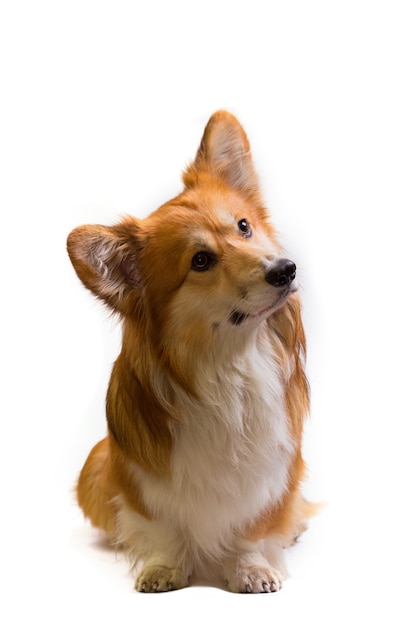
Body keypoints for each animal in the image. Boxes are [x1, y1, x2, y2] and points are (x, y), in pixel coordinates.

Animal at [67, 109, 312, 592]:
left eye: (243, 226)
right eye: (200, 261)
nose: (286, 269)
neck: (227, 366)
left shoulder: (272, 475)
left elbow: (251, 530)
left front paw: (251, 568)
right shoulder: (140, 478)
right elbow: (161, 527)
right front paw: (163, 568)